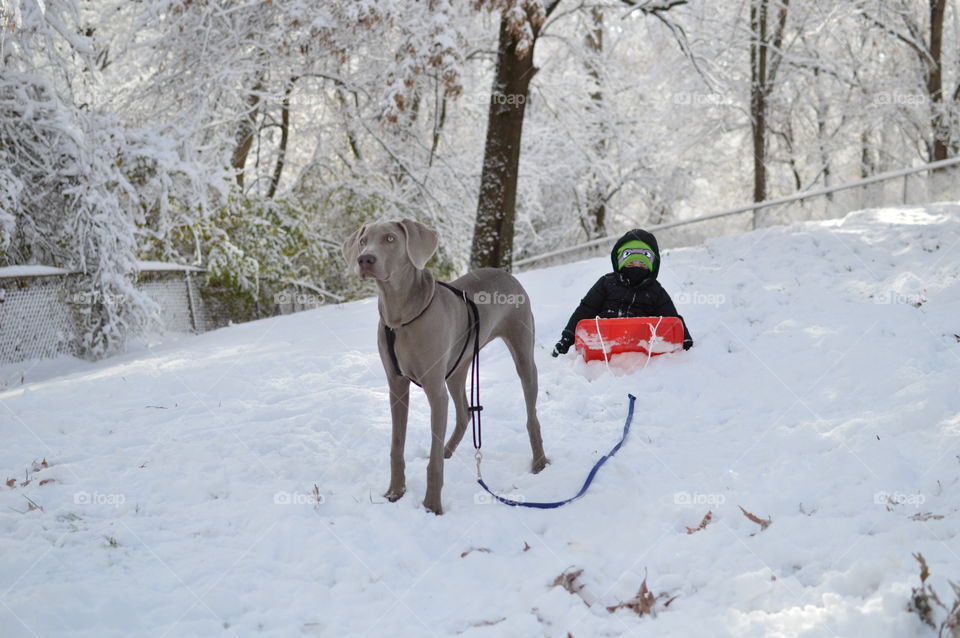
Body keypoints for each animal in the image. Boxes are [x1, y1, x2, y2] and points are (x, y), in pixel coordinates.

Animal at [342, 220, 544, 516]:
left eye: (390, 238)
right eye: (363, 241)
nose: (365, 259)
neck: (400, 316)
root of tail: (506, 274)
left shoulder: (435, 391)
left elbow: (433, 463)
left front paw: (432, 506)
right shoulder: (396, 386)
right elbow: (396, 446)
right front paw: (395, 492)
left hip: (522, 353)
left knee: (531, 415)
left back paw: (539, 461)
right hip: (458, 367)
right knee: (464, 413)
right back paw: (448, 450)